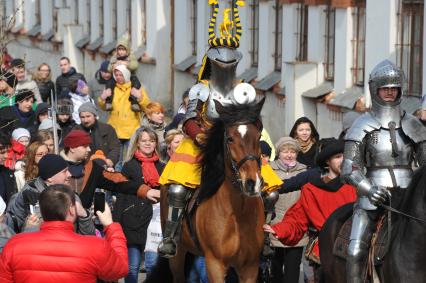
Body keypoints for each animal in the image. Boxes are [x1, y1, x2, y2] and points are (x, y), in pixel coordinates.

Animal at [160, 98, 266, 283]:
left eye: (258, 136)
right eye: (230, 138)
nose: (252, 183)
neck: (238, 213)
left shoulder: (250, 267)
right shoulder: (215, 264)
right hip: (178, 252)